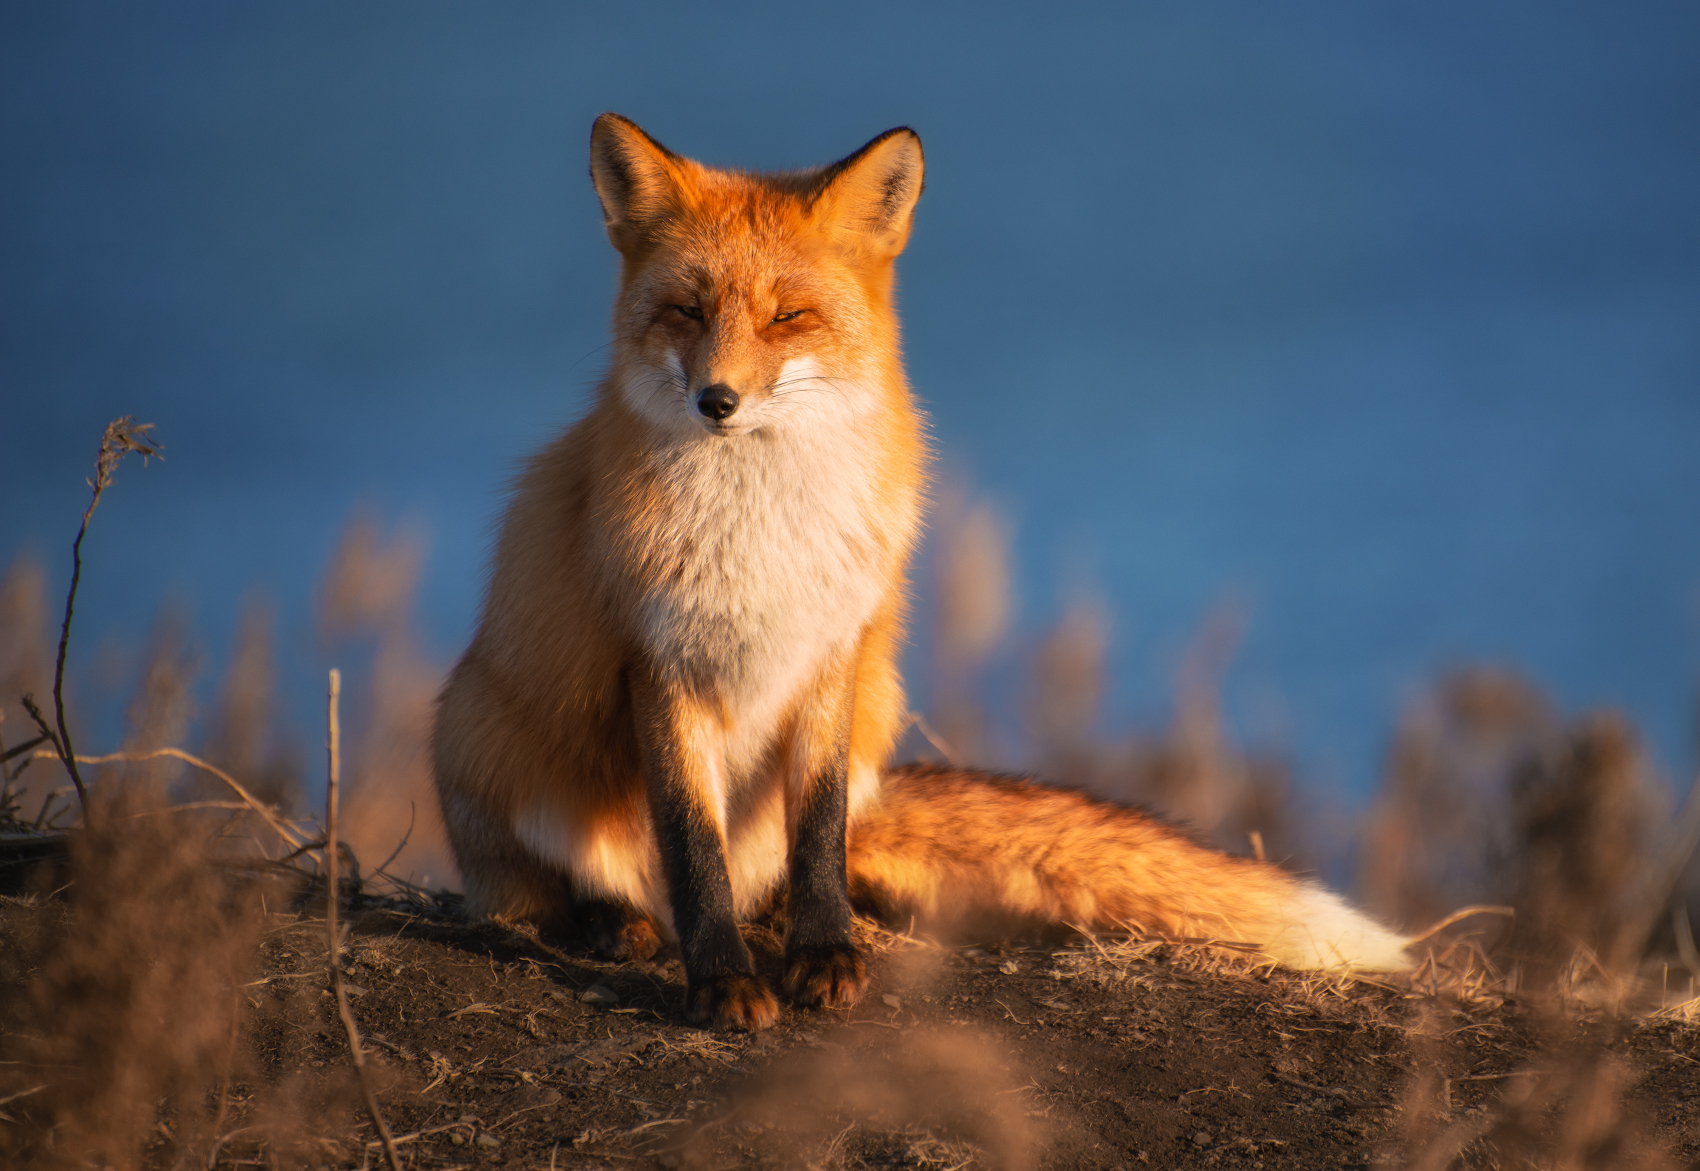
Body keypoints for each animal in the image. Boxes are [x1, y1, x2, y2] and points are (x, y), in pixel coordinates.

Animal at [431, 113, 1414, 1026]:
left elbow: (819, 830)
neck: (763, 527)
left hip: (878, 704)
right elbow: (690, 842)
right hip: (489, 729)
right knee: (564, 887)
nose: (718, 401)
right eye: (687, 311)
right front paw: (722, 981)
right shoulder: (659, 660)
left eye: (787, 315)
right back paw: (619, 922)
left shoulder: (834, 650)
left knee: (778, 868)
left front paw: (823, 954)